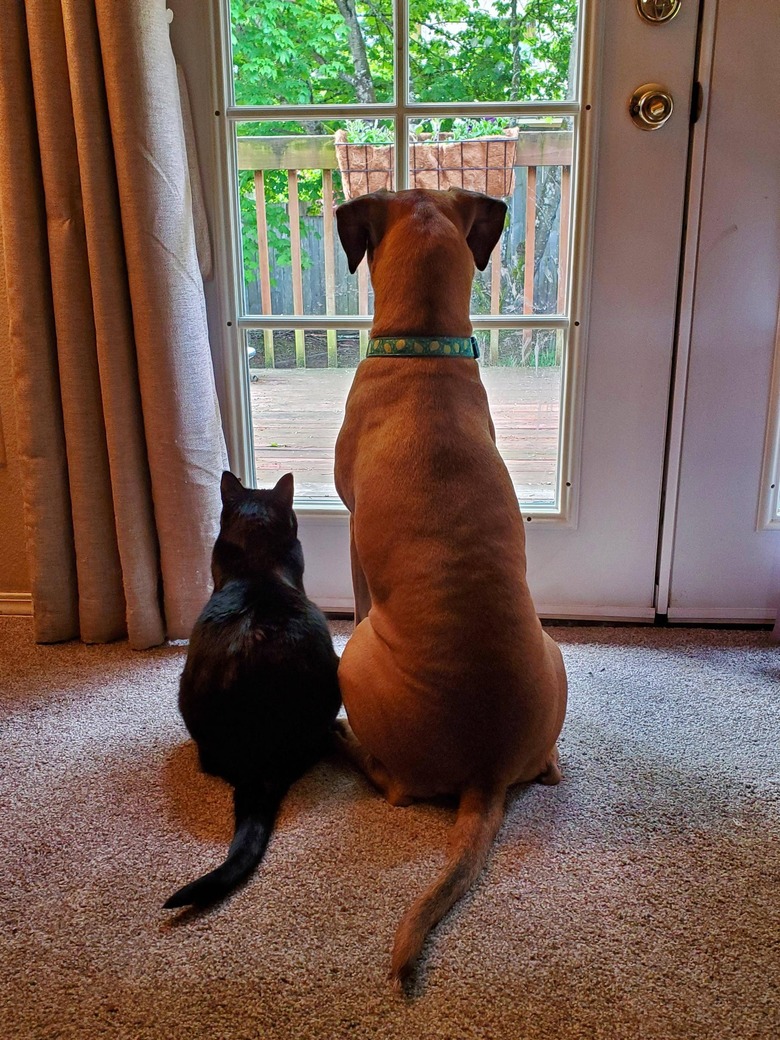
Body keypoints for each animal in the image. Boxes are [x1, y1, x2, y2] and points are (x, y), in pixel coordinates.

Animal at [336, 189, 569, 990]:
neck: (423, 351)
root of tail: (487, 768)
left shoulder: (350, 532)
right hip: (557, 654)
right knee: (549, 768)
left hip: (354, 663)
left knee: (394, 783)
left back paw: (345, 745)